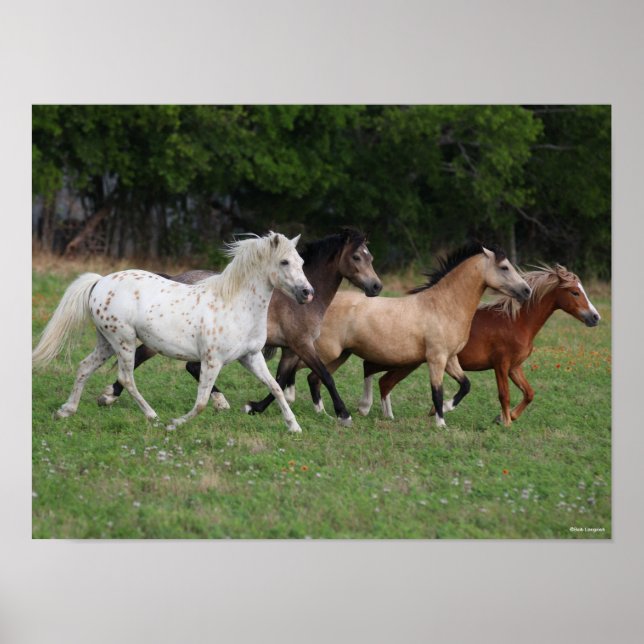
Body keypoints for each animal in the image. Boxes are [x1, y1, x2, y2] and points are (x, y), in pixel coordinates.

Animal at [32, 232, 314, 432]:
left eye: (301, 262)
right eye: (284, 261)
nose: (307, 293)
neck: (234, 304)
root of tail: (100, 281)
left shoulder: (251, 357)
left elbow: (275, 387)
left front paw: (294, 427)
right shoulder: (212, 361)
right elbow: (201, 402)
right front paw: (175, 424)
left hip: (106, 342)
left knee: (84, 367)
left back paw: (66, 410)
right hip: (123, 341)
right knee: (126, 378)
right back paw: (153, 416)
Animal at [97, 229, 382, 426]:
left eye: (371, 257)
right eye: (357, 256)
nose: (376, 287)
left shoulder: (290, 350)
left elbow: (279, 381)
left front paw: (256, 407)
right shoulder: (301, 345)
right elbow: (324, 375)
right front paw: (344, 415)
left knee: (185, 366)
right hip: (162, 341)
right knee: (143, 359)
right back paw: (111, 395)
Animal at [304, 242, 531, 428]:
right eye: (504, 267)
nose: (527, 290)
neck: (443, 306)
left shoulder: (450, 358)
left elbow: (465, 385)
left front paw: (445, 409)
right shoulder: (436, 359)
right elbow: (437, 392)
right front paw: (440, 423)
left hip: (341, 355)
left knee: (315, 378)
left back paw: (324, 414)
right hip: (327, 353)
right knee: (316, 375)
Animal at [355, 264, 601, 426]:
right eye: (574, 292)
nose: (595, 317)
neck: (516, 321)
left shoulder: (514, 367)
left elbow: (529, 393)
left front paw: (506, 417)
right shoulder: (501, 365)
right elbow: (504, 394)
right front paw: (505, 422)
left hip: (408, 362)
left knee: (384, 381)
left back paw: (388, 416)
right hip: (402, 359)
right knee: (372, 370)